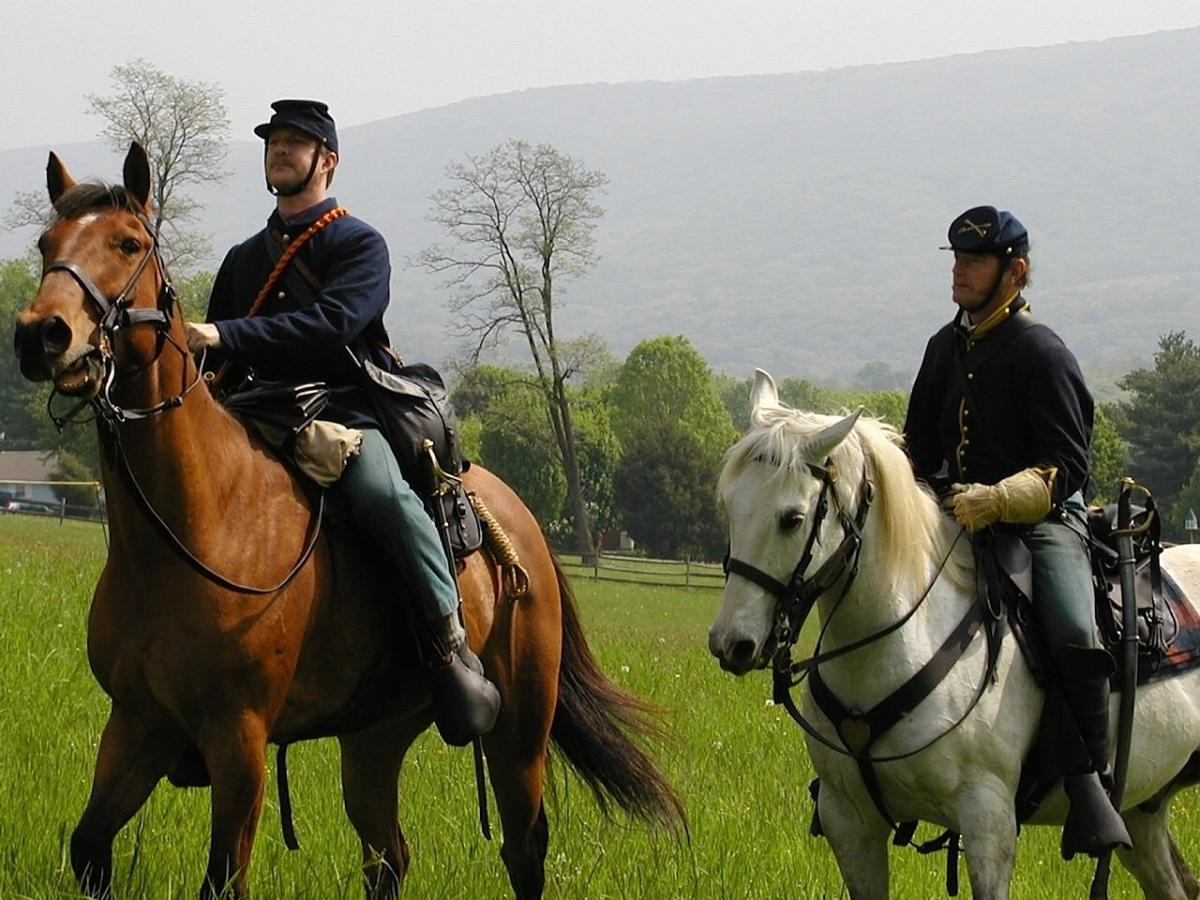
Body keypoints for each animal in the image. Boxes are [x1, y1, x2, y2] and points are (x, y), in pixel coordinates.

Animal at [14, 142, 681, 900]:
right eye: (46, 244)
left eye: (128, 243)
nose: (42, 335)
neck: (186, 532)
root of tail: (524, 529)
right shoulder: (136, 725)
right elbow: (89, 846)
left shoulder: (238, 743)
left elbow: (224, 877)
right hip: (375, 737)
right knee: (388, 855)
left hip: (518, 737)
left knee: (523, 852)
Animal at [705, 367, 1200, 900]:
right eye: (728, 508)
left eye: (792, 519)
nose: (732, 643)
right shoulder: (850, 823)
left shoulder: (987, 824)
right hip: (1143, 810)